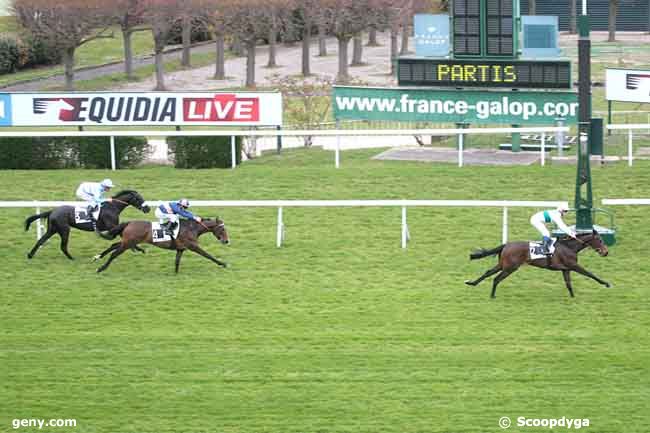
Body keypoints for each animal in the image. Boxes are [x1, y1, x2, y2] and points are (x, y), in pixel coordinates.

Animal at [92, 216, 229, 274]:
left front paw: (175, 273)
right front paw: (222, 263)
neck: (192, 228)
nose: (226, 241)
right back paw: (101, 268)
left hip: (127, 242)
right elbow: (208, 255)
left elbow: (177, 262)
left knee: (113, 245)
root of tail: (129, 222)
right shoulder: (193, 246)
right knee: (114, 254)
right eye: (222, 229)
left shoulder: (181, 249)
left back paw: (97, 257)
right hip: (128, 243)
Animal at [466, 230, 608, 296]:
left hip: (503, 264)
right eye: (600, 240)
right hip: (510, 267)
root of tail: (506, 244)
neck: (569, 247)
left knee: (488, 272)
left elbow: (568, 284)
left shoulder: (565, 269)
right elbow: (590, 274)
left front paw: (573, 297)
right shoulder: (573, 266)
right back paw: (492, 296)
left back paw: (472, 283)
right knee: (496, 278)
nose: (605, 252)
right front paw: (606, 283)